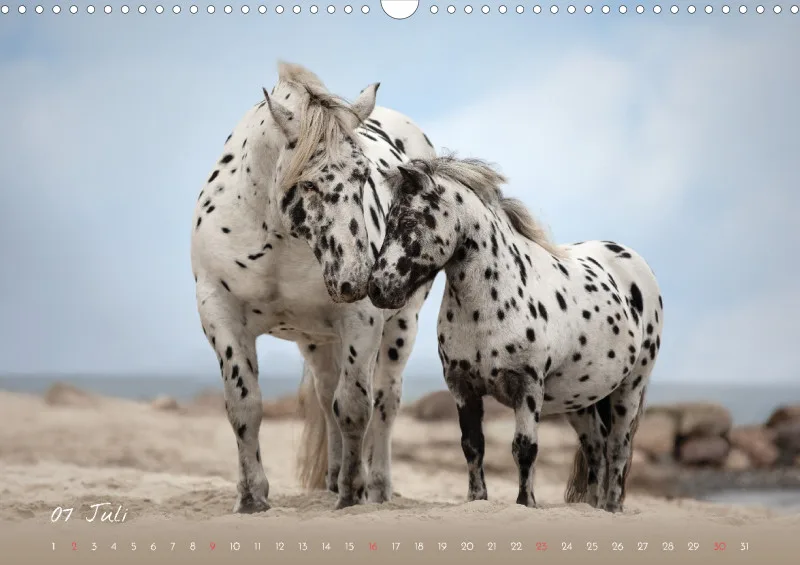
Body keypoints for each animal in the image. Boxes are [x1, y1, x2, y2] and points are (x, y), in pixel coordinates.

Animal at [190, 62, 436, 512]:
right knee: (326, 398)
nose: (356, 279)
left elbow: (355, 407)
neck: (277, 238)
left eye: (364, 176)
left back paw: (376, 488)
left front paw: (353, 495)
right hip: (317, 340)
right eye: (306, 183)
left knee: (384, 401)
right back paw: (332, 480)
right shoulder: (219, 312)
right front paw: (251, 498)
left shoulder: (361, 321)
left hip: (400, 327)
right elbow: (244, 405)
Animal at [367, 155, 664, 513]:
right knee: (596, 450)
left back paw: (611, 508)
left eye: (410, 220)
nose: (377, 288)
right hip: (580, 400)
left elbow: (524, 448)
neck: (487, 307)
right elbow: (472, 445)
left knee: (618, 449)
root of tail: (634, 261)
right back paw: (591, 507)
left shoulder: (527, 386)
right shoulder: (461, 386)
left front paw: (526, 502)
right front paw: (476, 498)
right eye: (388, 221)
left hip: (629, 389)